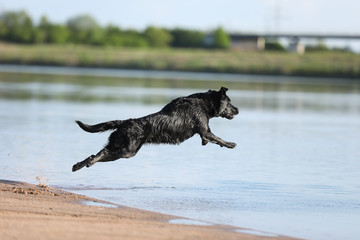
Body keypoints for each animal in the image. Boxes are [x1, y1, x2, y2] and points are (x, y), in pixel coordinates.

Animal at [71, 87, 238, 172]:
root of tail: (124, 122)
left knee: (97, 152)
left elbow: (209, 140)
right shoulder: (205, 131)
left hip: (118, 145)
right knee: (100, 154)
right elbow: (218, 139)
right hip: (127, 151)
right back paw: (88, 164)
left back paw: (77, 166)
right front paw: (230, 144)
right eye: (229, 102)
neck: (204, 103)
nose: (237, 110)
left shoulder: (204, 133)